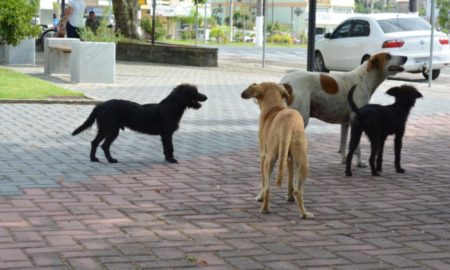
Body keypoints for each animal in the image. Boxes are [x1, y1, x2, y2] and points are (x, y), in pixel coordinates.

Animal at [72, 83, 207, 163]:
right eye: (194, 92)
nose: (206, 97)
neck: (171, 107)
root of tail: (100, 106)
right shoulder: (167, 134)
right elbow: (170, 147)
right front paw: (172, 160)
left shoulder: (164, 135)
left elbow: (166, 148)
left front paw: (167, 159)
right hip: (112, 130)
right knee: (104, 145)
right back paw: (111, 160)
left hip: (103, 129)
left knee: (94, 142)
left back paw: (93, 158)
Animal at [241, 81, 312, 218]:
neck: (274, 108)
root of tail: (288, 121)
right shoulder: (289, 159)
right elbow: (290, 179)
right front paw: (289, 197)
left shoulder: (263, 156)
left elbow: (263, 182)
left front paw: (260, 197)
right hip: (303, 162)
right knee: (298, 190)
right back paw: (304, 213)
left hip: (270, 159)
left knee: (267, 187)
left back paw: (264, 209)